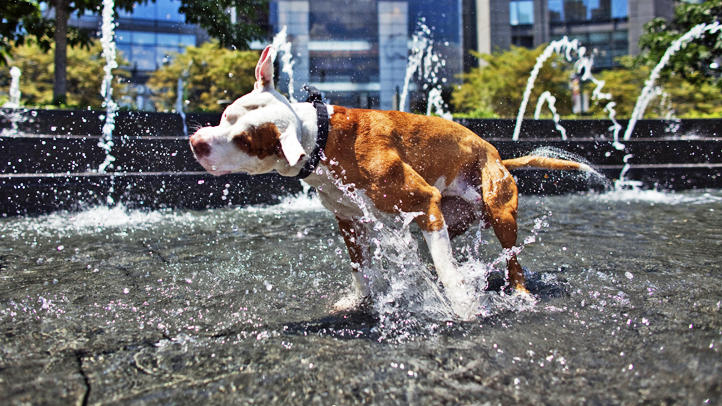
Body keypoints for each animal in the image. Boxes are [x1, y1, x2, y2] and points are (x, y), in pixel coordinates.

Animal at [188, 46, 588, 316]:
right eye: (226, 115)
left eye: (245, 141)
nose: (196, 142)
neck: (322, 139)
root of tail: (497, 154)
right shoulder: (349, 220)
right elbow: (361, 269)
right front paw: (360, 300)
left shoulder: (423, 200)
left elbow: (448, 273)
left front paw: (462, 306)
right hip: (447, 218)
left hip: (497, 211)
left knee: (510, 258)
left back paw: (519, 291)